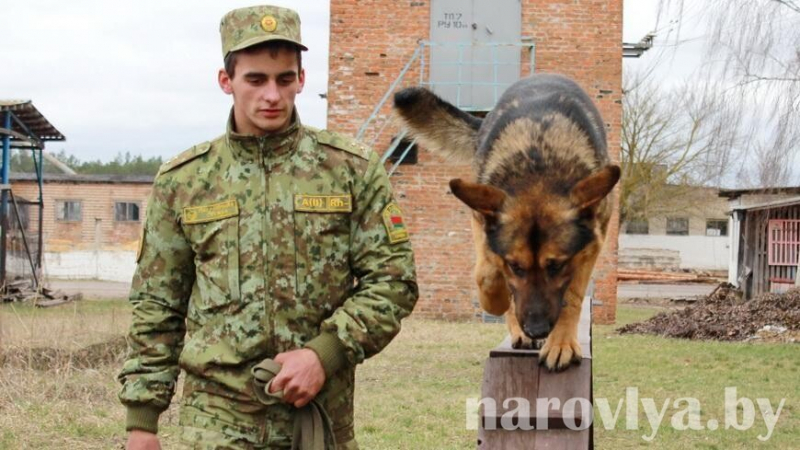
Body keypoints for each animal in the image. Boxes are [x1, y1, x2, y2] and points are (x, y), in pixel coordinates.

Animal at [394, 73, 620, 370]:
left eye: (557, 266)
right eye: (515, 266)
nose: (536, 329)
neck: (539, 163)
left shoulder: (592, 244)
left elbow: (571, 296)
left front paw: (560, 342)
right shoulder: (482, 221)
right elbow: (488, 274)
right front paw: (496, 301)